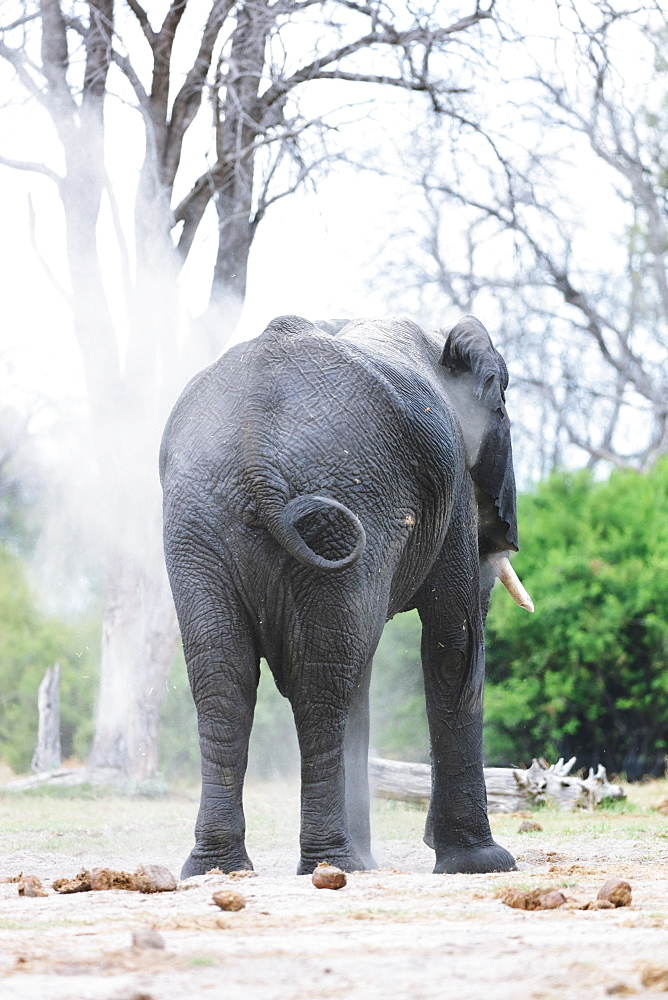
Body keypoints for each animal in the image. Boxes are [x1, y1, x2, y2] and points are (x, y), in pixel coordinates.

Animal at [159, 312, 528, 876]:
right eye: (504, 407)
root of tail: (253, 443)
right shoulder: (454, 498)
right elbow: (453, 645)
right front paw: (485, 864)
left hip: (198, 523)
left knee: (227, 681)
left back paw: (222, 868)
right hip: (340, 506)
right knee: (322, 685)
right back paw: (333, 865)